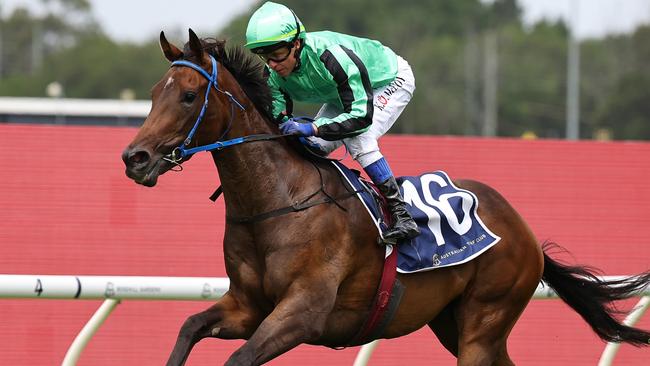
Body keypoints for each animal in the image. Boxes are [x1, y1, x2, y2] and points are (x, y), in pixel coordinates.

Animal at [123, 29, 648, 366]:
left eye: (189, 95)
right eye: (153, 91)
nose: (135, 157)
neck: (277, 201)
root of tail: (523, 228)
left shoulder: (304, 313)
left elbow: (238, 359)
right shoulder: (246, 306)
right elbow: (188, 328)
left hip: (484, 320)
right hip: (453, 323)